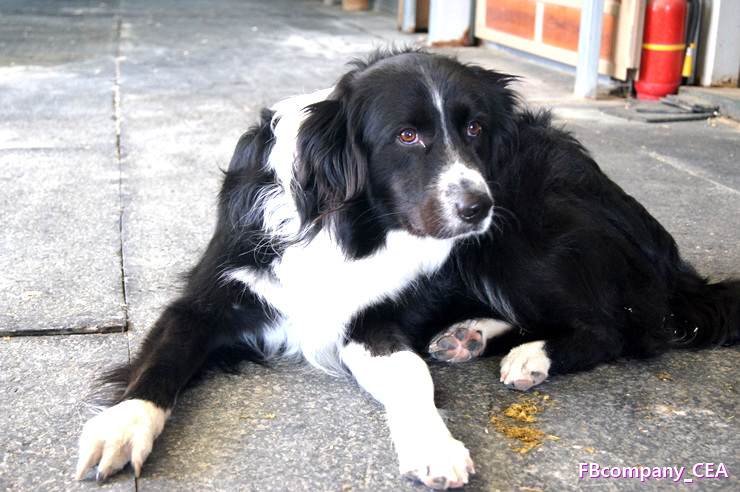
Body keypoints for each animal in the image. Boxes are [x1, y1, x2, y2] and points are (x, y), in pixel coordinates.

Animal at [75, 47, 740, 489]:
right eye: (407, 136)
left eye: (474, 127)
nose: (478, 206)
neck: (348, 225)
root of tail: (669, 257)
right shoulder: (213, 294)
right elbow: (164, 355)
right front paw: (121, 426)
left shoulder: (373, 318)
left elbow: (412, 377)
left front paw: (433, 443)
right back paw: (471, 334)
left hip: (522, 235)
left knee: (617, 328)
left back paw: (531, 356)